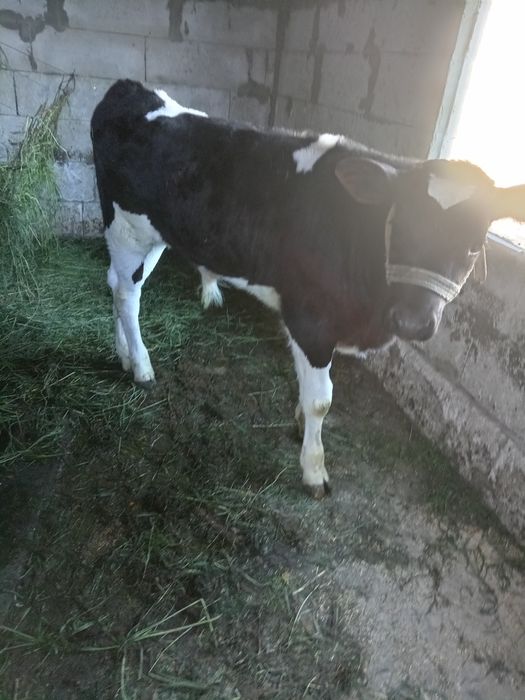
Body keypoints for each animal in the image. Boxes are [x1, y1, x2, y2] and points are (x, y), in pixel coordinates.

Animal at [91, 79, 525, 498]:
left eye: (475, 245)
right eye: (401, 227)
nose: (413, 322)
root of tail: (131, 87)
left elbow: (306, 393)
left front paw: (301, 428)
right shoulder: (311, 320)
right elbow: (321, 400)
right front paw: (314, 469)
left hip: (154, 235)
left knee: (115, 283)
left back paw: (123, 354)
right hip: (127, 227)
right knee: (128, 295)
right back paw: (142, 367)